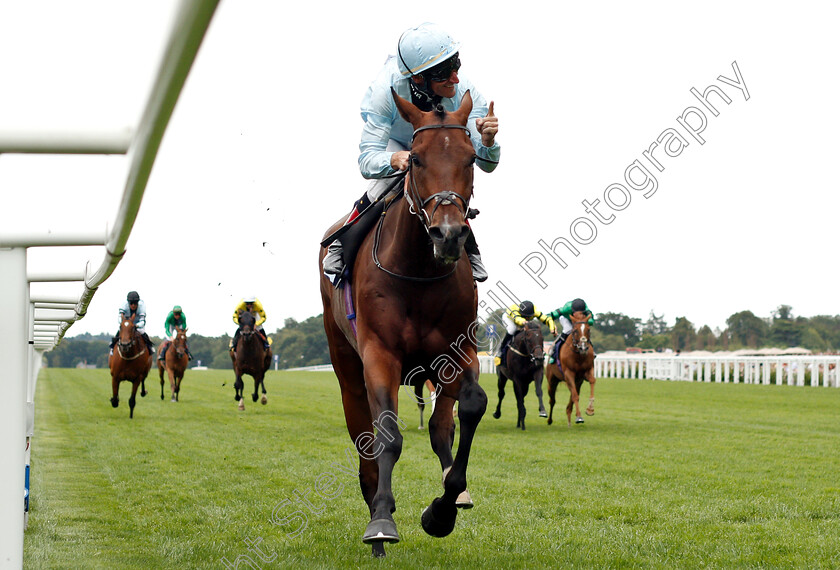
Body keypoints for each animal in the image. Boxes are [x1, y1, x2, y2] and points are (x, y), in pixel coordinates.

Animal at [320, 89, 488, 556]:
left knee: (440, 426)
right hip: (346, 365)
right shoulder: (380, 354)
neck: (419, 272)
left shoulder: (458, 351)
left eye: (471, 157)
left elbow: (470, 408)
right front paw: (381, 521)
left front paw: (442, 510)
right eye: (414, 158)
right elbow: (388, 436)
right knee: (364, 436)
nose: (448, 235)